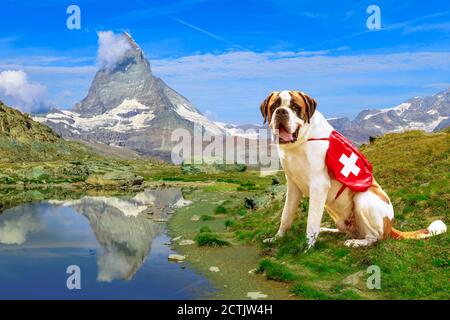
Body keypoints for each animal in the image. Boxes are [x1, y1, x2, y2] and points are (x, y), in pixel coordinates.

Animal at [260, 90, 446, 250]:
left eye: (295, 107)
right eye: (274, 105)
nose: (281, 112)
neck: (299, 143)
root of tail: (390, 226)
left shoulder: (318, 186)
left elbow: (311, 221)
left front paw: (307, 248)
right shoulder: (293, 186)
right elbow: (286, 216)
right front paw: (277, 238)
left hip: (363, 199)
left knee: (375, 238)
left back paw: (356, 242)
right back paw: (328, 230)